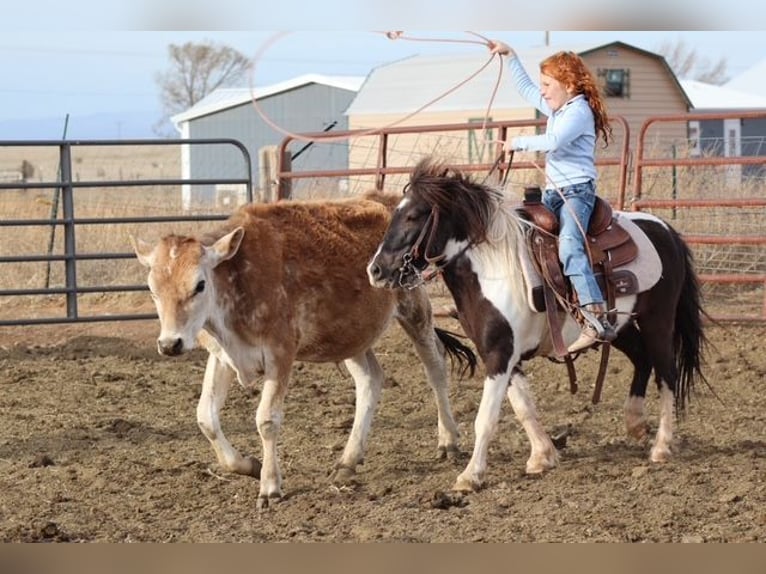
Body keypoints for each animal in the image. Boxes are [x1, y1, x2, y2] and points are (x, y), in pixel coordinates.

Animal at [131, 192, 475, 508]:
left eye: (199, 285)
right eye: (153, 289)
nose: (170, 344)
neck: (239, 280)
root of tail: (386, 199)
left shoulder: (280, 353)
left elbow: (267, 419)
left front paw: (270, 486)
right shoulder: (222, 356)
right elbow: (205, 417)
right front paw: (248, 466)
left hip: (414, 306)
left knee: (435, 367)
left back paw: (448, 440)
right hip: (350, 335)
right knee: (370, 380)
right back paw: (348, 460)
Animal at [367, 157, 708, 493]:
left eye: (412, 216)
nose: (376, 270)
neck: (492, 269)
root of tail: (666, 230)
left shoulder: (499, 354)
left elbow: (486, 418)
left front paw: (470, 475)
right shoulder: (504, 354)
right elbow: (523, 406)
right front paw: (542, 456)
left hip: (658, 320)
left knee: (667, 373)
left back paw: (661, 446)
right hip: (618, 325)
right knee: (642, 358)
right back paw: (635, 423)